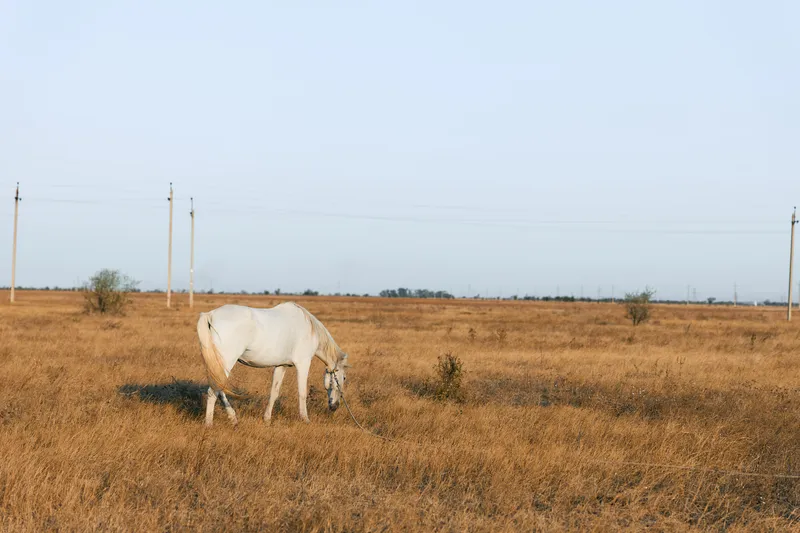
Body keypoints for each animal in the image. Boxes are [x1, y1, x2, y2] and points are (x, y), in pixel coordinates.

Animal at [195, 301, 349, 426]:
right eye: (344, 378)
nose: (335, 406)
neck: (309, 329)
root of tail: (210, 315)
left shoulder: (281, 366)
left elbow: (274, 392)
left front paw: (267, 419)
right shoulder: (303, 364)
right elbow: (302, 392)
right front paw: (305, 419)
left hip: (218, 365)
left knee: (219, 388)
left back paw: (233, 418)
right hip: (226, 361)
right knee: (213, 391)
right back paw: (209, 424)